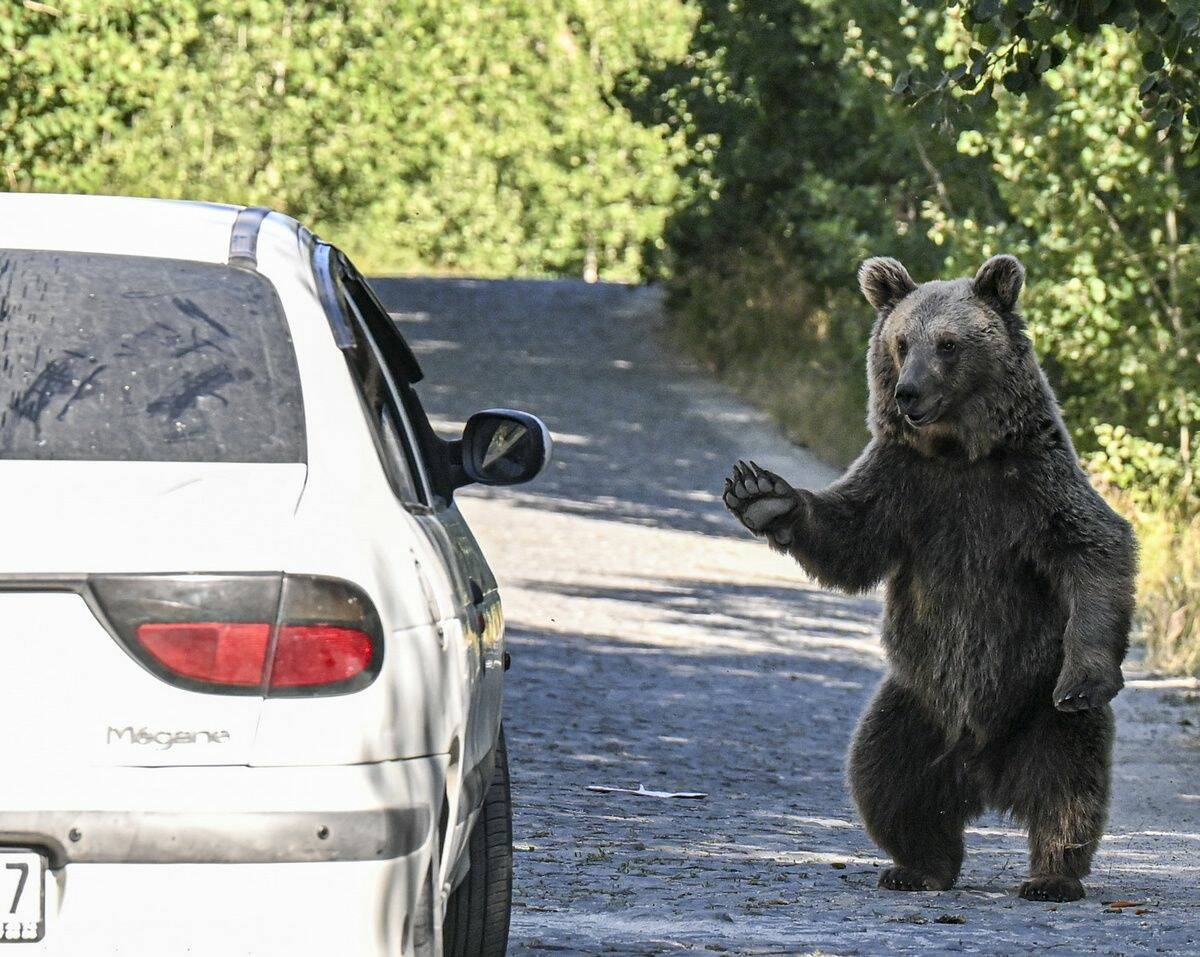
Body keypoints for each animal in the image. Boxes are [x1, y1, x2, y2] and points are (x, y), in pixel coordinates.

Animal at [720, 254, 1132, 906]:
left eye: (949, 343)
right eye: (900, 342)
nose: (907, 390)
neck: (960, 452)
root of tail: (984, 769)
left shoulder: (1031, 486)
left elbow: (1094, 548)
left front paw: (1088, 675)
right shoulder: (906, 484)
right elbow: (849, 538)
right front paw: (762, 494)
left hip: (1034, 704)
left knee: (1068, 784)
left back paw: (1051, 876)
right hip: (916, 705)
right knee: (885, 777)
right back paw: (917, 867)